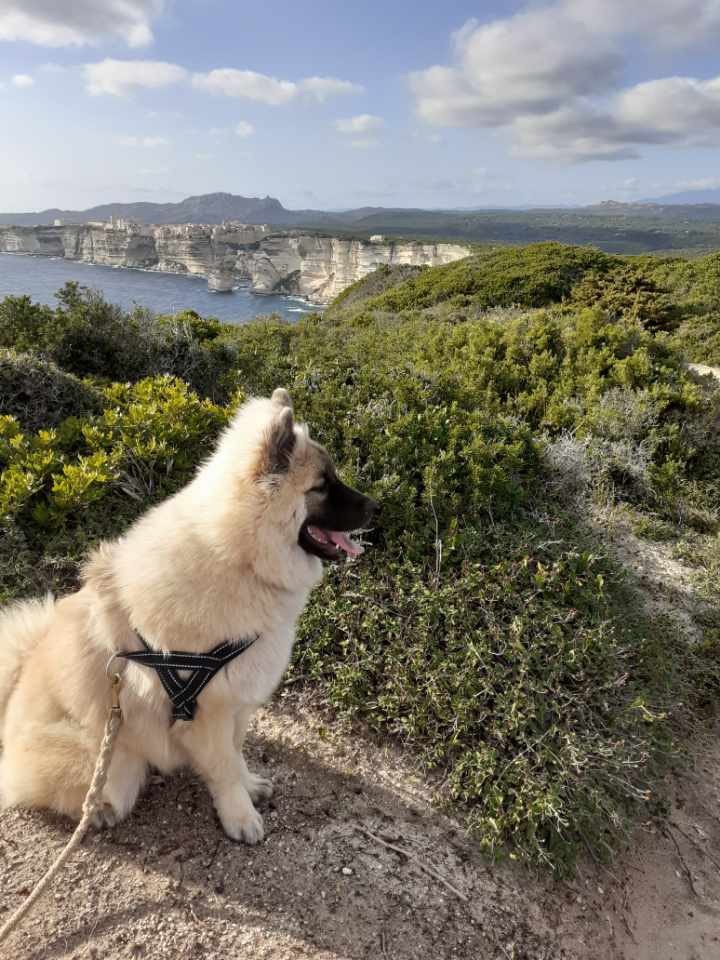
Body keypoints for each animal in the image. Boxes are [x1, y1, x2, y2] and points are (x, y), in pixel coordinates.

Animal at [0, 386, 380, 844]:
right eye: (322, 486)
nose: (377, 507)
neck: (241, 558)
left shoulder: (238, 704)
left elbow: (237, 754)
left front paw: (250, 785)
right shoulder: (208, 712)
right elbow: (225, 769)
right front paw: (240, 815)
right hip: (114, 766)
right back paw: (100, 811)